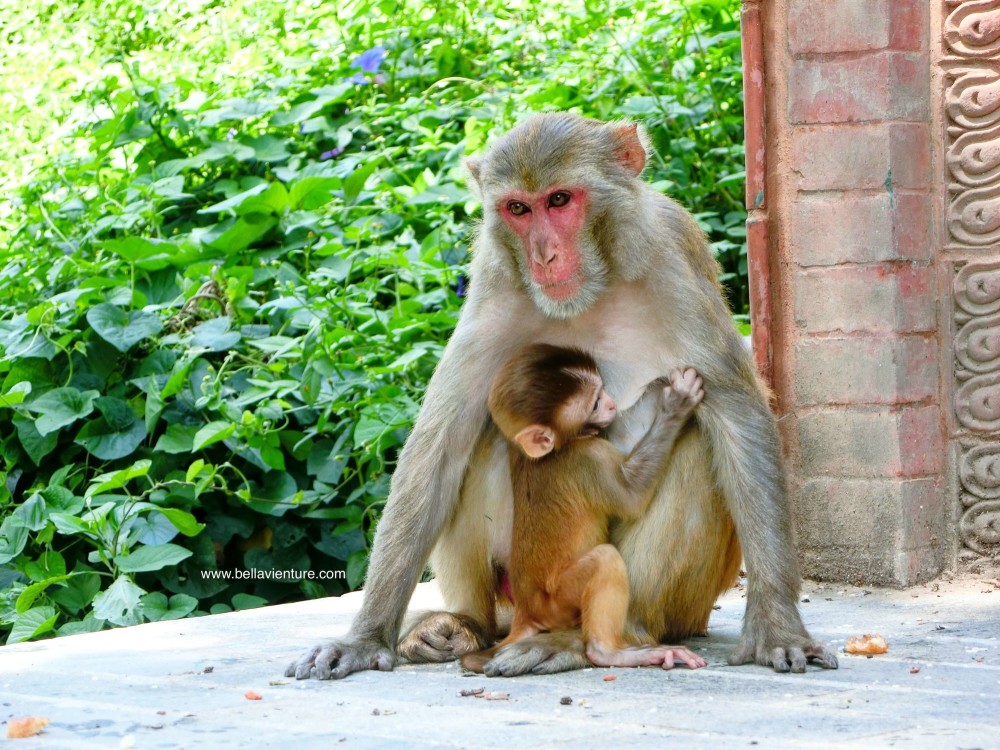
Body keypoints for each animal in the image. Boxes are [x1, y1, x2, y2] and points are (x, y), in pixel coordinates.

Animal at [459, 343, 707, 673]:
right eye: (595, 404)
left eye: (601, 390)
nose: (612, 404)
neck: (553, 449)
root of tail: (525, 611)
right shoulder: (587, 459)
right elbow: (632, 495)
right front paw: (676, 405)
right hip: (558, 601)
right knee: (604, 560)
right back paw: (609, 653)